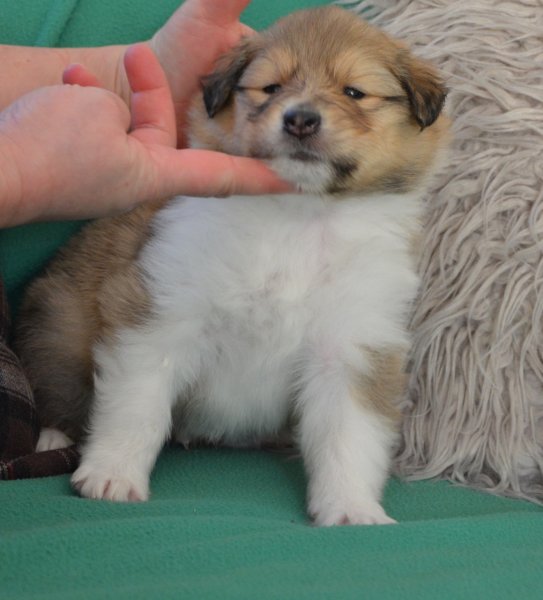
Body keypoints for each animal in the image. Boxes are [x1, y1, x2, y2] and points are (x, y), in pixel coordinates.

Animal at [15, 6, 449, 525]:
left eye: (353, 92)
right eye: (271, 87)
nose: (300, 119)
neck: (298, 217)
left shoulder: (352, 345)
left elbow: (348, 436)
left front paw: (351, 509)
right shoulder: (162, 315)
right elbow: (136, 407)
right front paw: (112, 474)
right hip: (61, 323)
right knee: (57, 389)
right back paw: (52, 439)